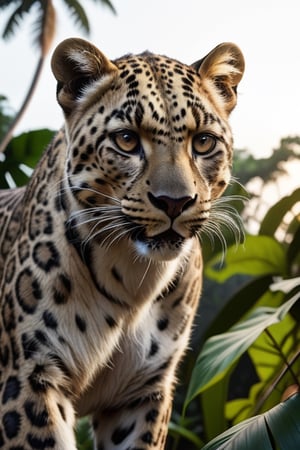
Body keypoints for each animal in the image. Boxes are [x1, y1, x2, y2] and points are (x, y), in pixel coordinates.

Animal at [0, 38, 244, 450]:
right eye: (127, 140)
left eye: (203, 142)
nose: (175, 202)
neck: (132, 281)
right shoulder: (29, 375)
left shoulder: (142, 392)